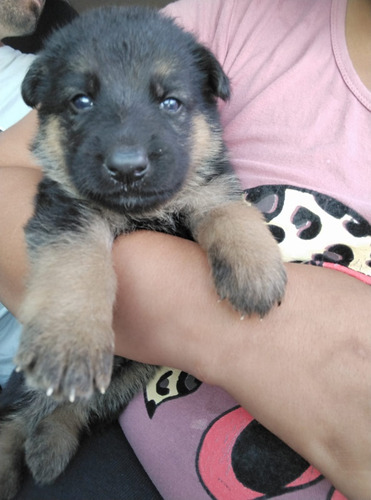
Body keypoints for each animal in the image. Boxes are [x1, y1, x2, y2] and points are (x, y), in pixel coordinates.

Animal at [0, 6, 288, 496]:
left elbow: (229, 210)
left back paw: (49, 445)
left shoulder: (208, 187)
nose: (127, 168)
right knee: (19, 415)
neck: (143, 211)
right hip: (32, 377)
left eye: (170, 102)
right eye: (81, 101)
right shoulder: (68, 212)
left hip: (128, 376)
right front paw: (71, 340)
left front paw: (255, 267)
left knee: (74, 406)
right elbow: (77, 267)